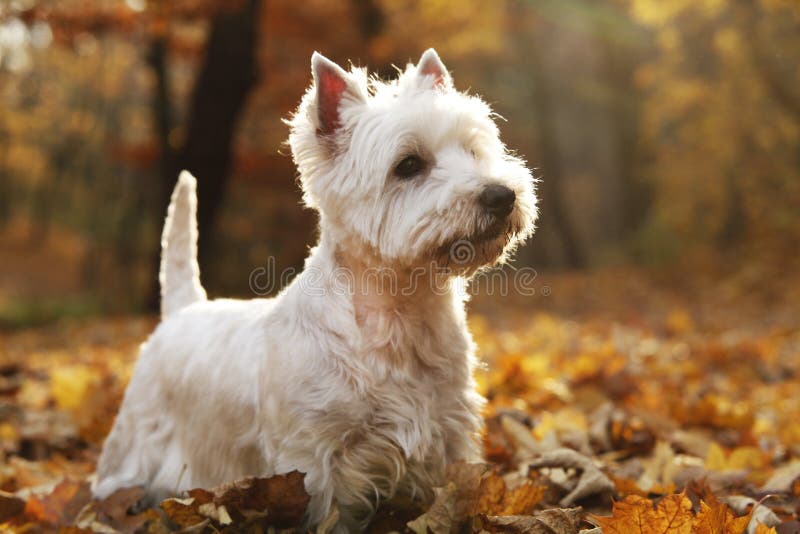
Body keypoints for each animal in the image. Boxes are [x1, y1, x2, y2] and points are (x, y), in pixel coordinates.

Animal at [97, 49, 540, 532]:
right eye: (408, 165)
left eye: (474, 150)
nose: (501, 195)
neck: (401, 314)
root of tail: (182, 310)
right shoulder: (313, 455)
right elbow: (327, 511)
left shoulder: (448, 431)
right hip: (139, 430)